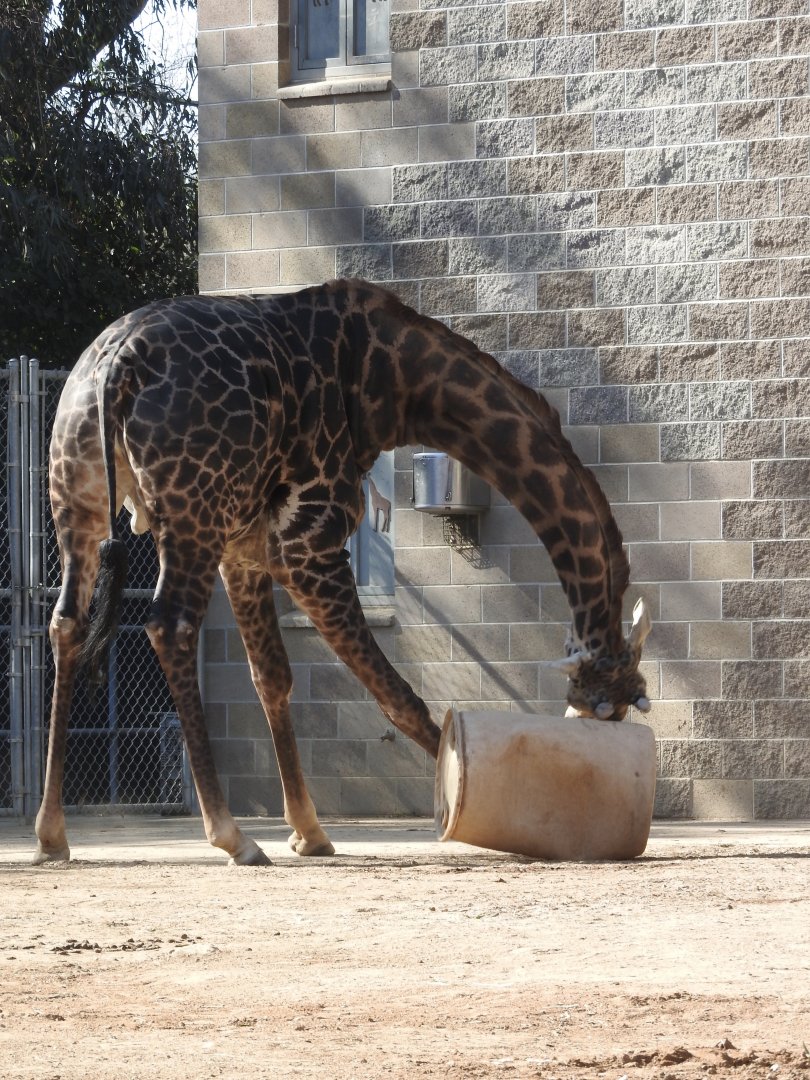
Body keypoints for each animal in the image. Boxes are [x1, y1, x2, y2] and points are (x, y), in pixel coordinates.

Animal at [35, 279, 652, 866]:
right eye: (610, 709)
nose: (613, 748)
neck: (396, 384)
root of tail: (119, 364)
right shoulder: (307, 546)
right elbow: (398, 696)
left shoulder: (244, 552)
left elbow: (273, 678)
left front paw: (310, 833)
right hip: (192, 516)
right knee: (169, 626)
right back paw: (233, 837)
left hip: (78, 498)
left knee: (66, 623)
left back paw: (51, 835)